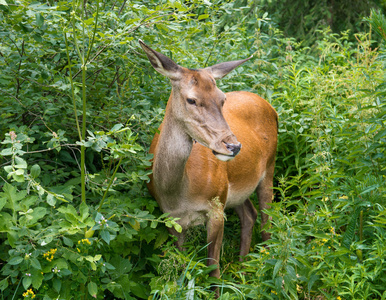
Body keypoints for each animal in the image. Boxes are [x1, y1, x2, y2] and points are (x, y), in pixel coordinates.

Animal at [139, 38, 278, 280]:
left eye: (222, 99)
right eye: (191, 99)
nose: (233, 145)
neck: (177, 193)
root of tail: (270, 106)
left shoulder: (216, 206)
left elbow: (213, 268)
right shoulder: (170, 219)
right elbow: (181, 264)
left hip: (267, 169)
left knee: (266, 223)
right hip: (232, 189)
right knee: (249, 214)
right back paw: (242, 268)